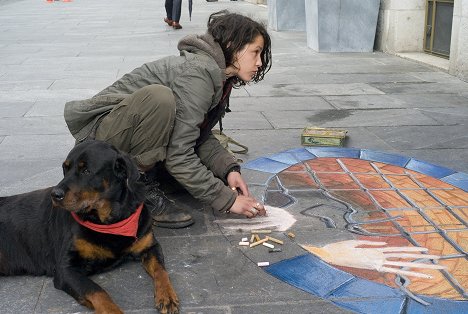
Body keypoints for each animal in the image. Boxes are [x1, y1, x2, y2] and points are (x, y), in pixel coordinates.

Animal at [0, 140, 179, 314]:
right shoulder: (66, 269)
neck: (109, 221)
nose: (55, 194)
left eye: (86, 171)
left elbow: (161, 271)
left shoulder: (150, 246)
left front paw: (167, 295)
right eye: (65, 168)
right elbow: (97, 291)